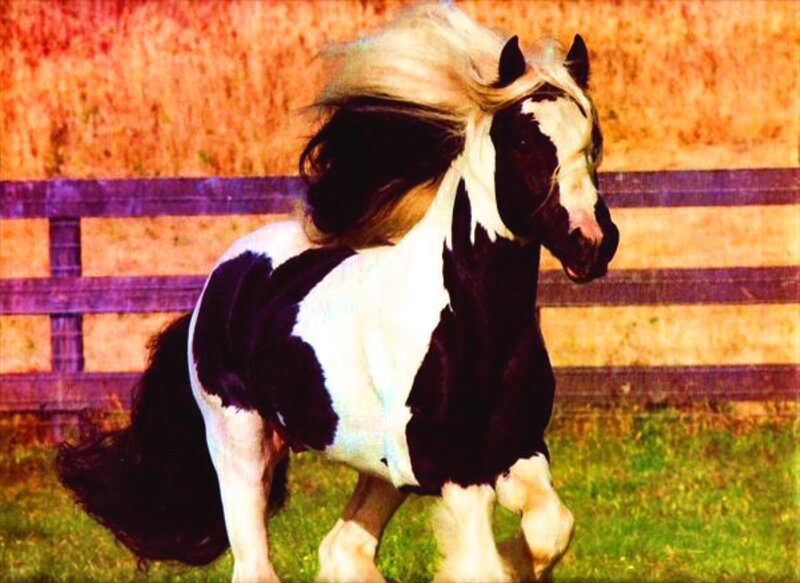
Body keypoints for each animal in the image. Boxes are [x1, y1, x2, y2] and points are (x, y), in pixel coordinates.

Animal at [57, 5, 618, 582]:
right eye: (525, 141)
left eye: (592, 139)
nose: (592, 243)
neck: (474, 322)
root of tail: (218, 283)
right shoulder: (449, 466)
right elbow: (483, 564)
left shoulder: (518, 449)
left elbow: (550, 528)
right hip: (240, 444)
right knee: (257, 563)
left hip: (377, 469)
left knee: (342, 549)